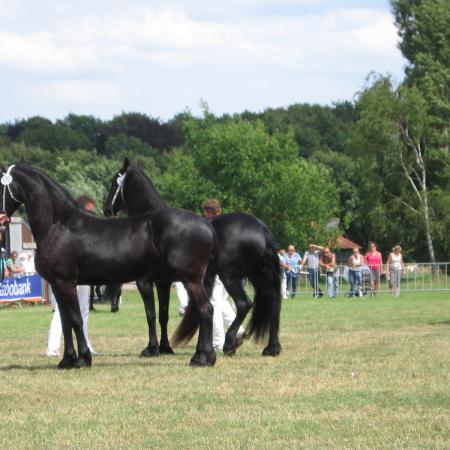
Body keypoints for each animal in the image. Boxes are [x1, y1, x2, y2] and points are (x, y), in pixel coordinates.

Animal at [0, 163, 218, 368]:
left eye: (0, 185)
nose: (1, 217)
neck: (58, 224)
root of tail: (206, 225)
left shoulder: (66, 283)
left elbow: (76, 319)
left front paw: (82, 359)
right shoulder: (57, 284)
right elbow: (65, 322)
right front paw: (67, 360)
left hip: (191, 280)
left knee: (206, 310)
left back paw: (200, 358)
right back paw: (207, 356)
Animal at [104, 157, 284, 356]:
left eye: (114, 183)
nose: (106, 209)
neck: (151, 224)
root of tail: (261, 227)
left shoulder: (144, 282)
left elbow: (150, 314)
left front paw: (151, 348)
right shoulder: (163, 282)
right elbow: (163, 314)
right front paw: (165, 347)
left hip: (230, 277)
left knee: (244, 304)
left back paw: (230, 343)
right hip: (258, 275)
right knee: (272, 304)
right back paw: (271, 348)